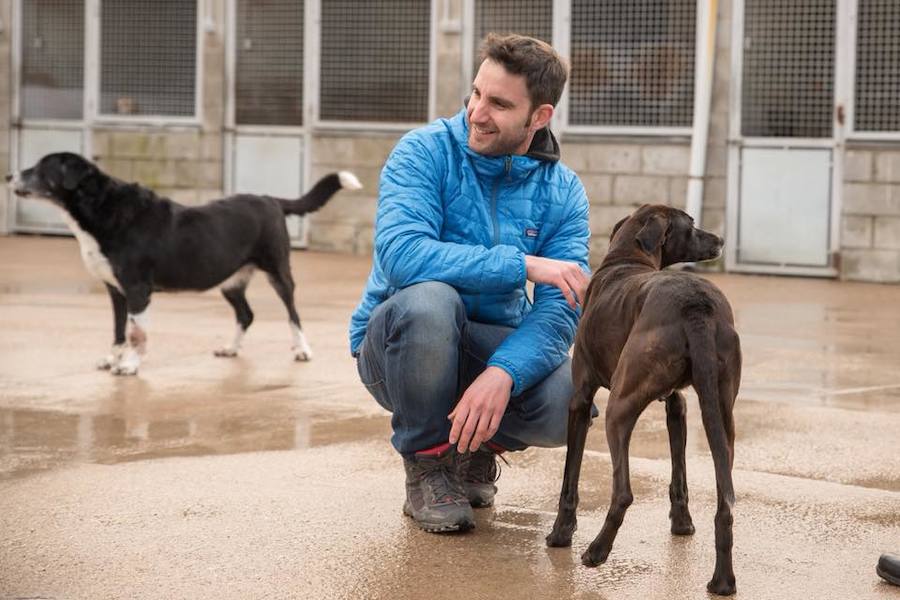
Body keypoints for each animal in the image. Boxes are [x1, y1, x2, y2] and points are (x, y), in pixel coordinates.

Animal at [7, 151, 360, 376]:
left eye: (40, 168)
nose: (9, 174)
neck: (100, 207)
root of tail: (270, 199)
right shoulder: (115, 290)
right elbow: (119, 330)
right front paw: (112, 358)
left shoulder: (137, 290)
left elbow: (136, 333)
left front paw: (129, 365)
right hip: (231, 281)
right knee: (246, 314)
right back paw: (231, 348)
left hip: (278, 271)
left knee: (292, 313)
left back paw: (302, 349)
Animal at [544, 203, 740, 596]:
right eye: (690, 226)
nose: (720, 240)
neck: (626, 258)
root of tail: (696, 306)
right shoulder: (677, 406)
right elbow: (679, 475)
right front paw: (682, 524)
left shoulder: (580, 401)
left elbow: (569, 480)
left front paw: (561, 534)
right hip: (723, 418)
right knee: (725, 500)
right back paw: (722, 582)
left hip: (617, 409)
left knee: (623, 493)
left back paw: (596, 552)